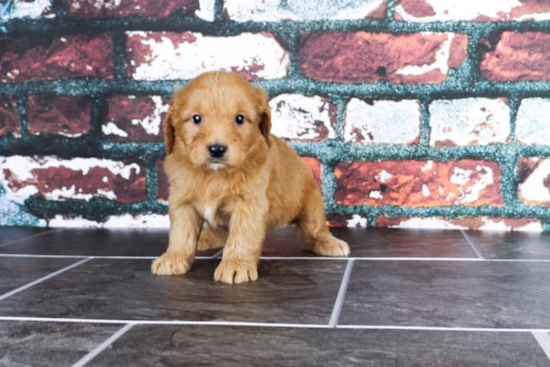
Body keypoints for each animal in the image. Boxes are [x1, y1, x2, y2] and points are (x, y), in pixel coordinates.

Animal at [152, 71, 350, 284]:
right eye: (196, 118)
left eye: (240, 119)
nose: (217, 149)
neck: (214, 175)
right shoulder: (182, 202)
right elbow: (181, 234)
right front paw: (173, 258)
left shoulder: (249, 203)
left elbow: (241, 235)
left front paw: (235, 265)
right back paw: (206, 237)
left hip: (311, 202)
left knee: (313, 230)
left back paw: (329, 242)